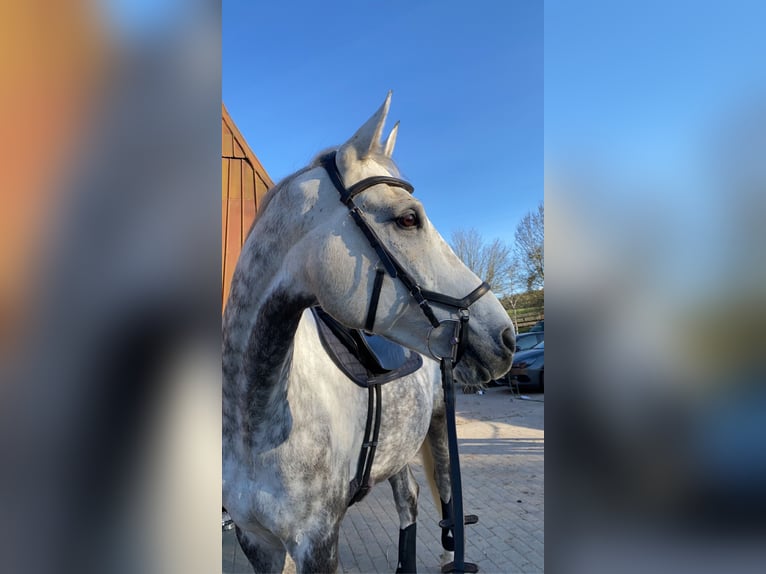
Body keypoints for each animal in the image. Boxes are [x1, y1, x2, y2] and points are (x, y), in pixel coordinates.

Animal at [224, 92, 516, 572]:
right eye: (408, 219)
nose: (507, 338)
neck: (256, 421)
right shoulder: (256, 542)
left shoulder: (318, 542)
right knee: (409, 501)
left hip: (440, 430)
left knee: (445, 500)